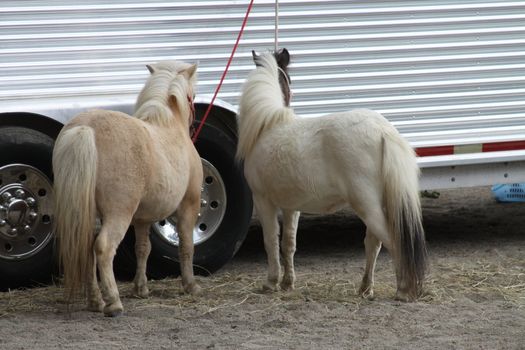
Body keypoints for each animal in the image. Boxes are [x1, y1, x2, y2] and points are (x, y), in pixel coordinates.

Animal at [52, 60, 202, 318]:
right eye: (192, 96)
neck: (169, 124)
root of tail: (85, 129)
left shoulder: (142, 219)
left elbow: (143, 248)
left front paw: (140, 288)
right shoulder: (188, 207)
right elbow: (186, 245)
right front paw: (190, 285)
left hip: (88, 213)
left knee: (87, 249)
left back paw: (95, 301)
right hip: (118, 213)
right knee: (103, 248)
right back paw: (113, 303)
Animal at [237, 48, 426, 300]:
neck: (269, 126)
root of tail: (382, 131)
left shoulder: (263, 200)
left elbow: (270, 241)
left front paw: (271, 282)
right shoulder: (291, 206)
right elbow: (288, 243)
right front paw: (287, 283)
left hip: (367, 205)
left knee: (393, 242)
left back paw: (403, 290)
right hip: (378, 205)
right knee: (373, 243)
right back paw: (365, 288)